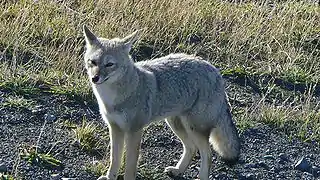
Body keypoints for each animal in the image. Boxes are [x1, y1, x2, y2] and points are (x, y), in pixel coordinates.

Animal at [82, 25, 240, 180]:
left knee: (207, 154)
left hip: (194, 128)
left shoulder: (134, 131)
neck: (113, 99)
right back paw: (178, 170)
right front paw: (110, 177)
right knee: (192, 148)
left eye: (109, 64)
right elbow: (114, 159)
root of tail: (215, 70)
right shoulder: (115, 128)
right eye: (93, 62)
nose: (94, 78)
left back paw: (200, 176)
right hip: (176, 124)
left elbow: (130, 166)